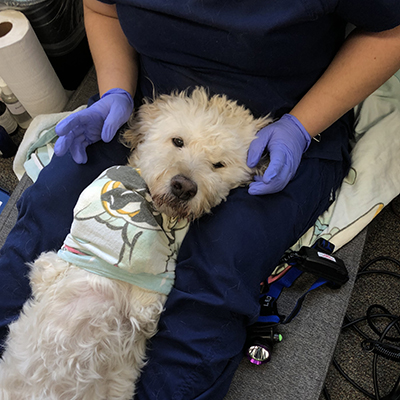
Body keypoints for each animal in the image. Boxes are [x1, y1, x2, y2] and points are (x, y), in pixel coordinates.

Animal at [0, 87, 272, 400]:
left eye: (218, 164)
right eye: (178, 141)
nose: (184, 186)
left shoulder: (144, 309)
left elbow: (147, 295)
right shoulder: (51, 268)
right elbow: (54, 262)